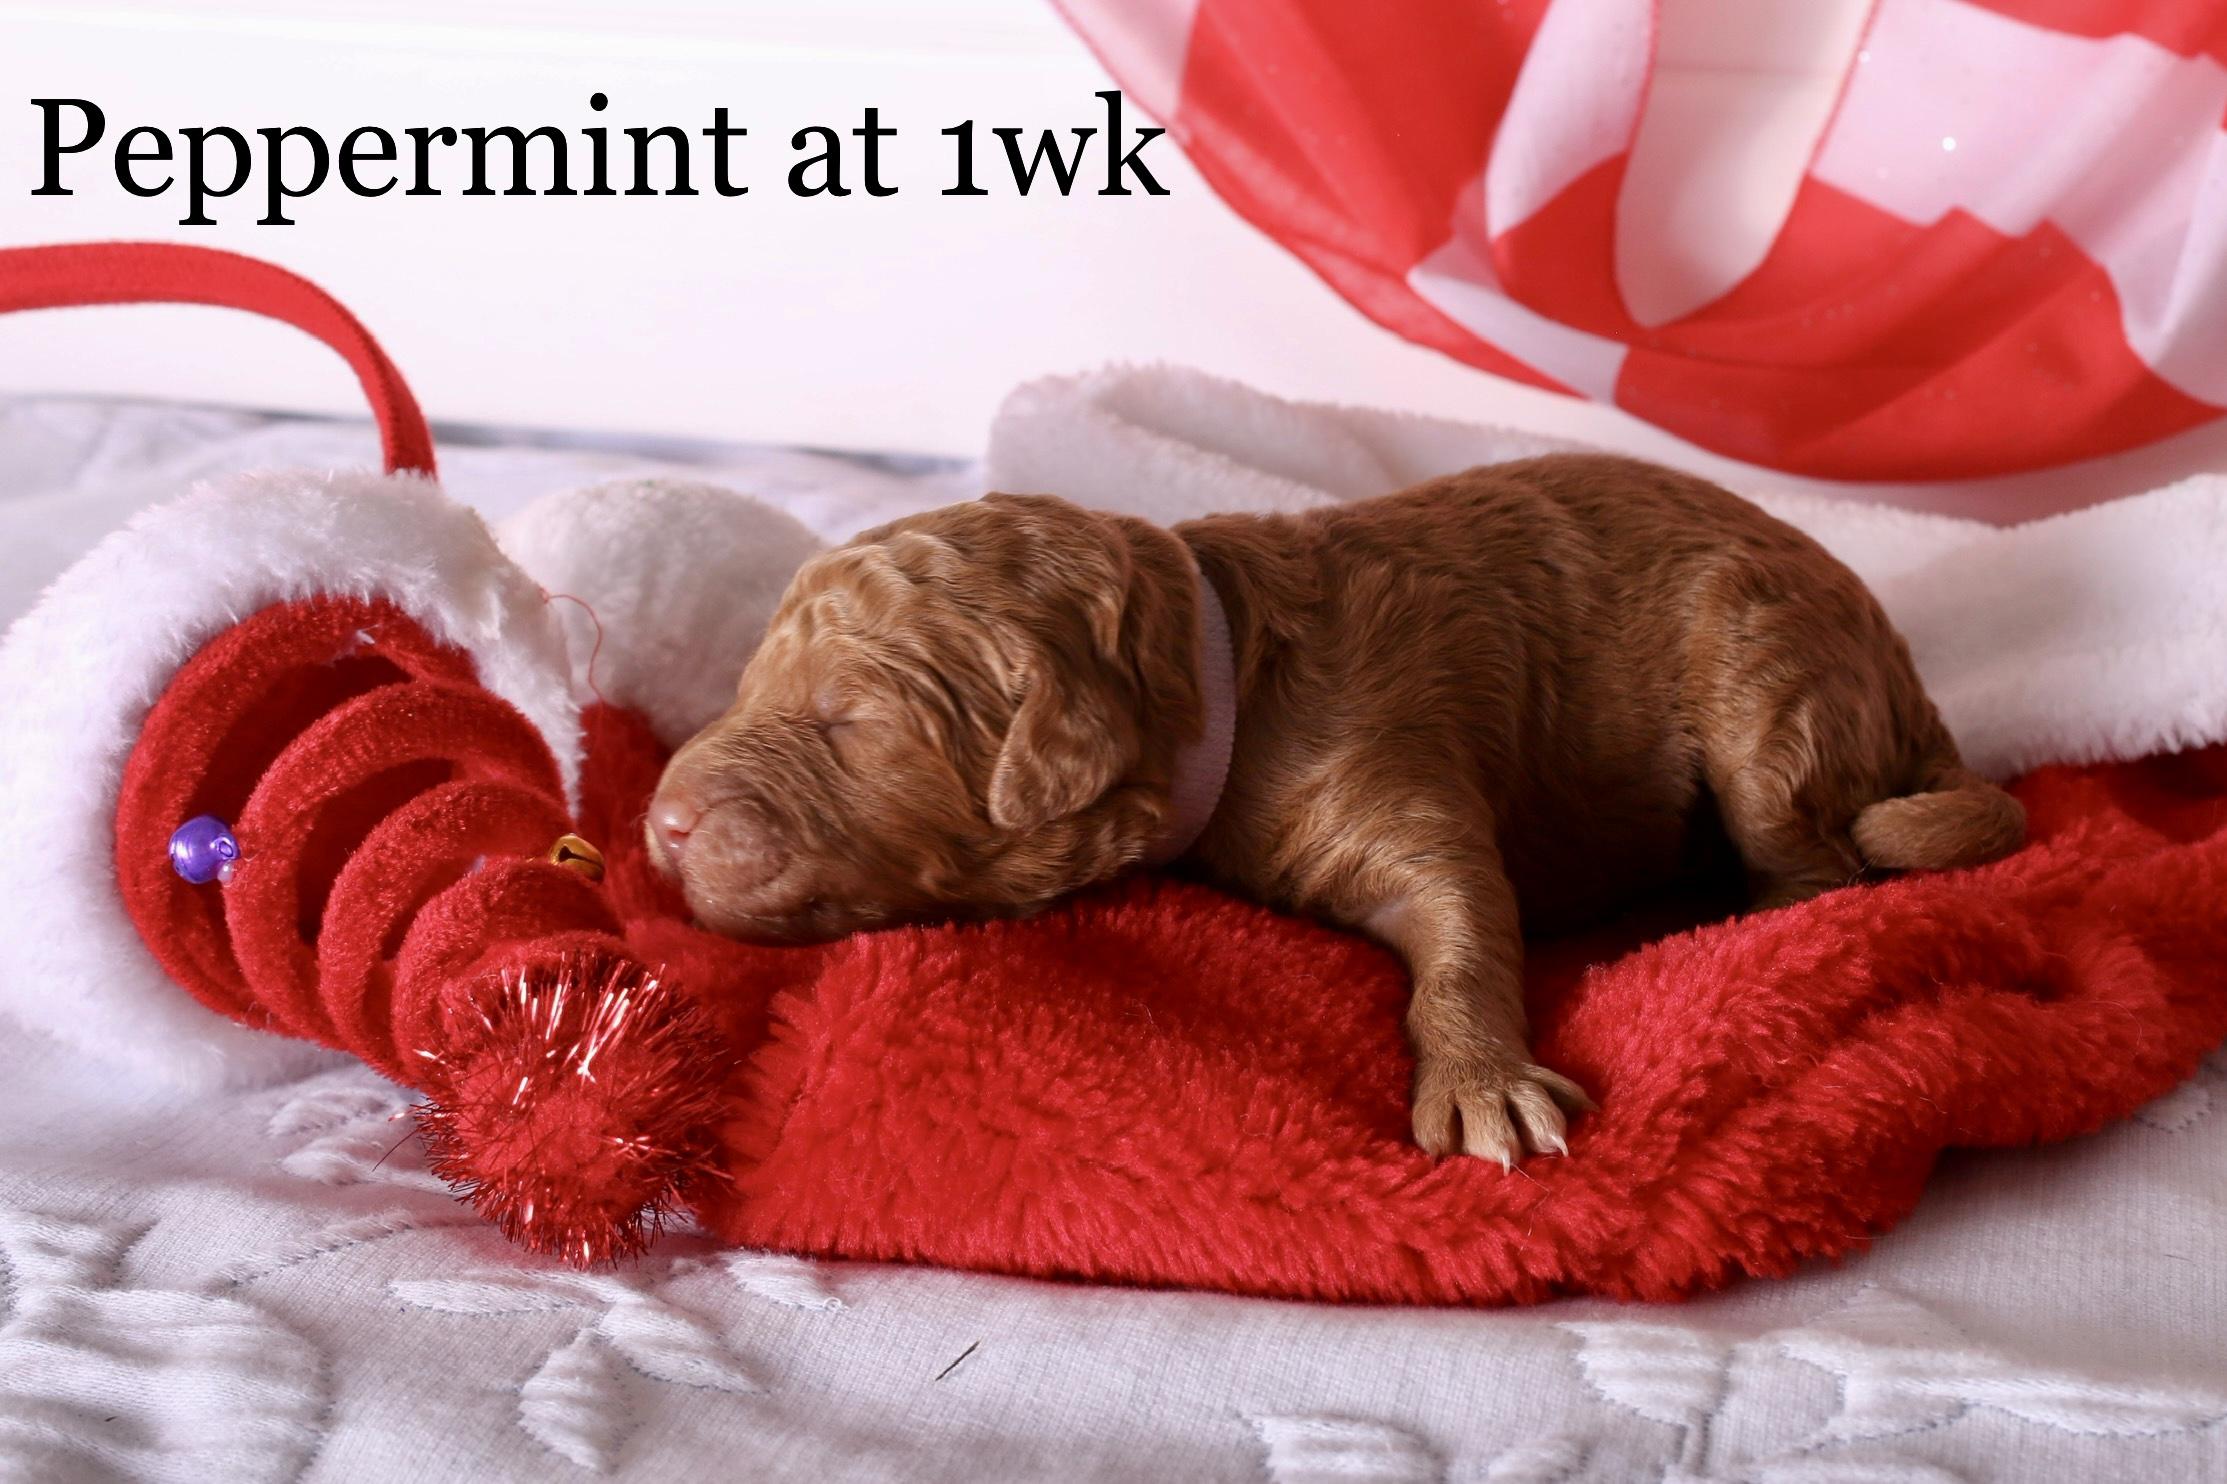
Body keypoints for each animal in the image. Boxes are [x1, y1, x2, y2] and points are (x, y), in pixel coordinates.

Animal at [647, 454, 2025, 1166]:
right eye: (753, 684)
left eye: (846, 720)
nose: (660, 820)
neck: (1215, 667)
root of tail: (1904, 676)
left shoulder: (1394, 774)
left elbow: (1464, 914)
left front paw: (1482, 1081)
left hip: (1761, 667)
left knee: (1819, 865)